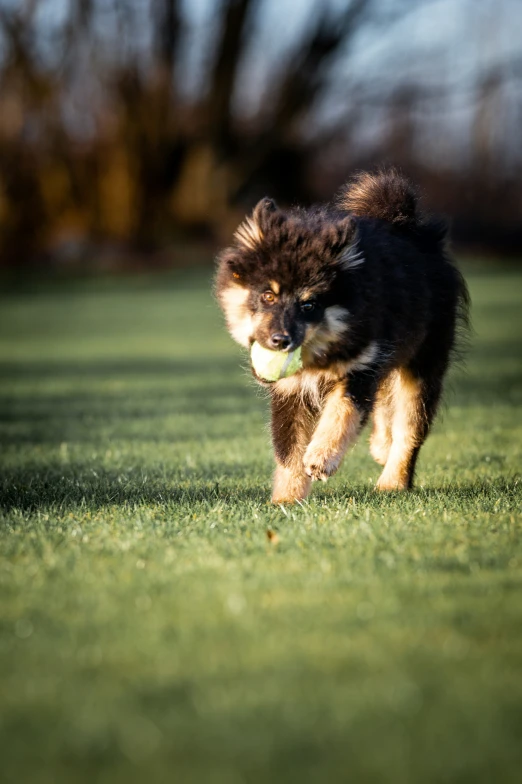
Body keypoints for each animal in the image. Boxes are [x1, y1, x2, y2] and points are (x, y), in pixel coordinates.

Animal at [213, 169, 466, 506]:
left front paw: (321, 458)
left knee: (409, 430)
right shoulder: (290, 390)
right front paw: (286, 500)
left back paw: (393, 481)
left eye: (309, 305)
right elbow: (288, 450)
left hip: (422, 365)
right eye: (268, 295)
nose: (281, 341)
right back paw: (381, 446)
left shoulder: (359, 369)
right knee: (386, 404)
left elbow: (341, 415)